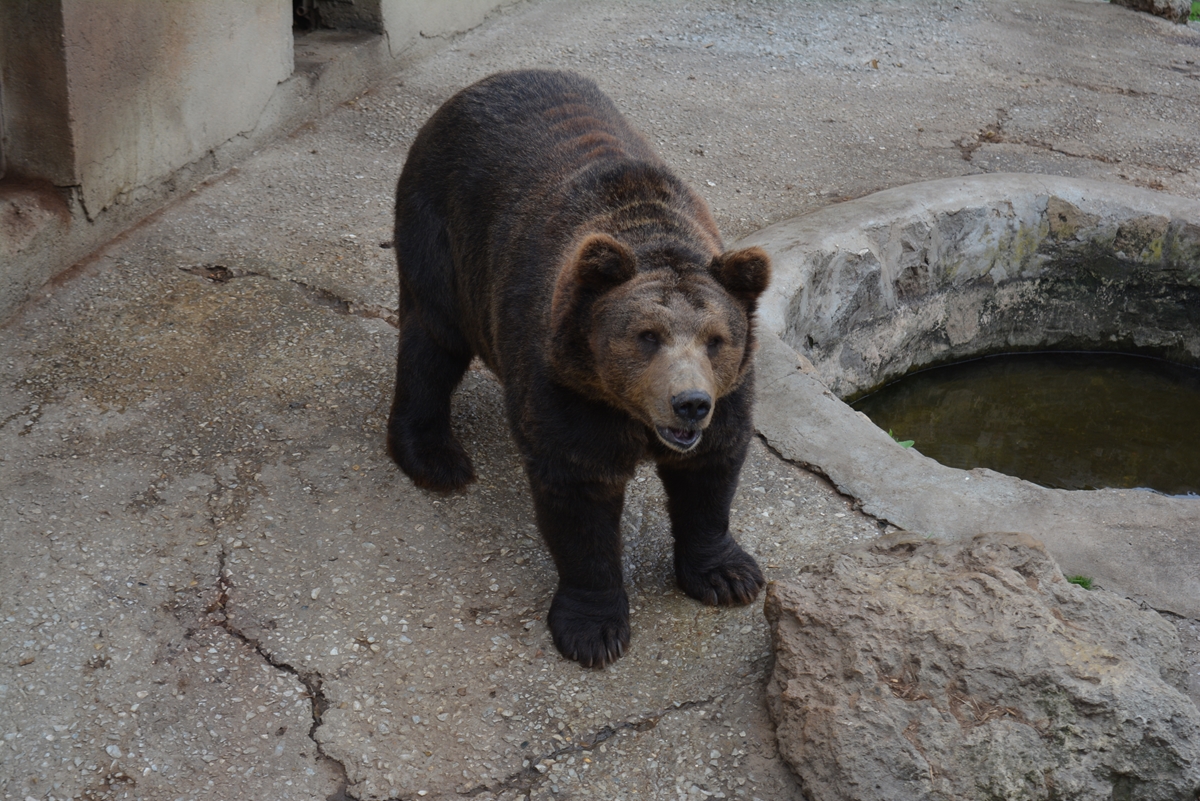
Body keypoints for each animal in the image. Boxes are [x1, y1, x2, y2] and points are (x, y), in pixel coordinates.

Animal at [388, 70, 772, 671]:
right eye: (646, 335)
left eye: (716, 340)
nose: (689, 403)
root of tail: (474, 87)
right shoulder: (564, 380)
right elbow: (578, 494)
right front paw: (593, 630)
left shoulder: (731, 392)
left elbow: (711, 473)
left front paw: (729, 576)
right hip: (442, 233)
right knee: (432, 340)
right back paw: (436, 459)